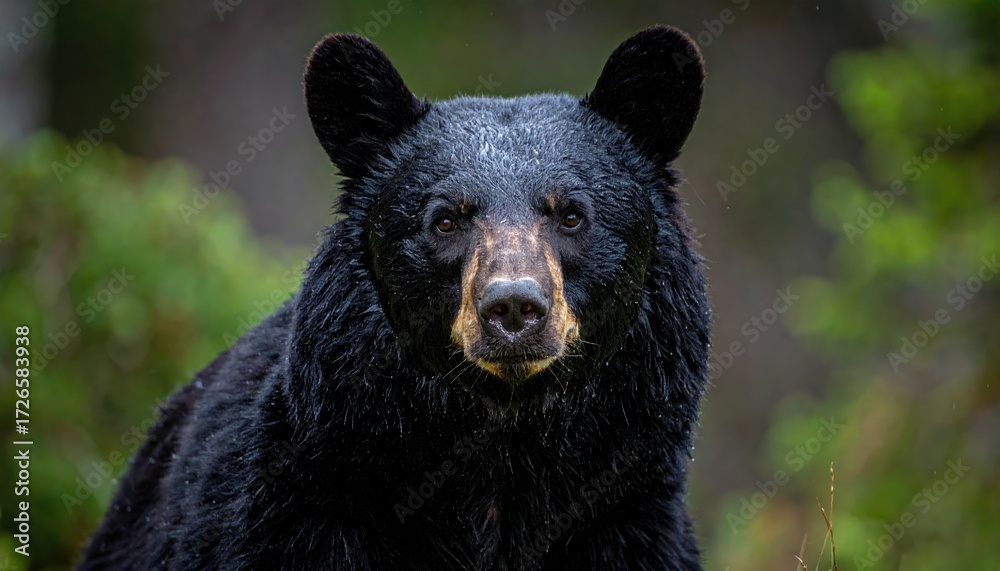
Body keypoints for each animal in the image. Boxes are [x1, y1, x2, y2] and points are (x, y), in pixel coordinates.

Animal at [79, 25, 710, 570]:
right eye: (446, 219)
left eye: (573, 215)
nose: (513, 308)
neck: (500, 447)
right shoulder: (298, 515)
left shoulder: (628, 523)